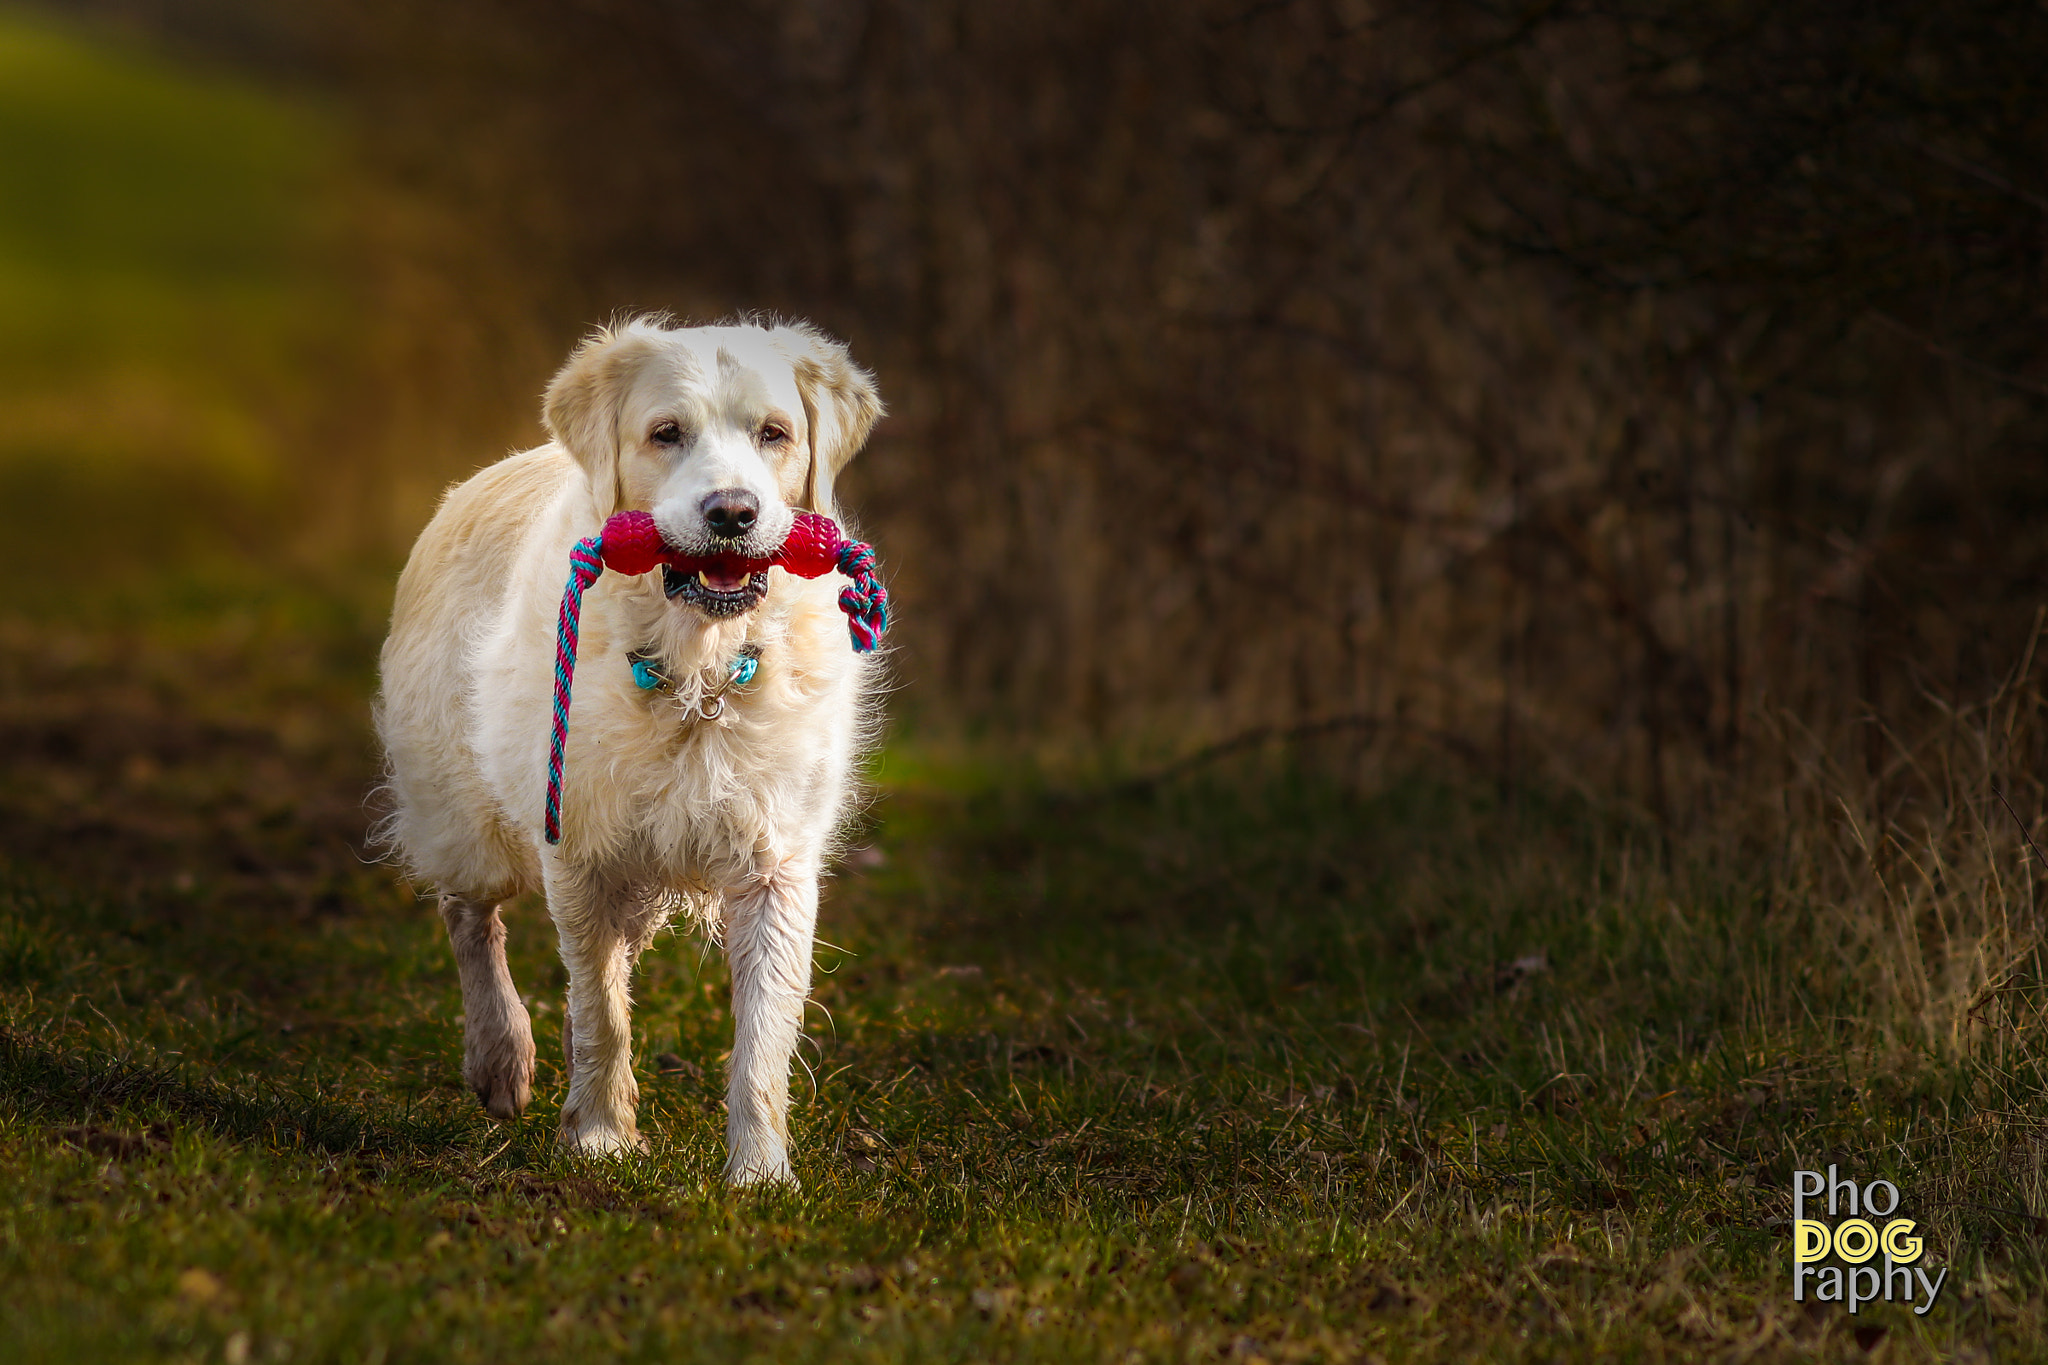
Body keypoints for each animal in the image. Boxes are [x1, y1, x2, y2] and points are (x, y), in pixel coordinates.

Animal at [374, 313, 880, 1186]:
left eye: (774, 433)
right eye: (666, 432)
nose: (733, 512)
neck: (699, 671)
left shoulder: (775, 861)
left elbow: (763, 1035)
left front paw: (759, 1172)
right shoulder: (580, 848)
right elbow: (599, 1007)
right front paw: (603, 1136)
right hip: (468, 820)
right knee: (470, 914)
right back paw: (499, 1057)